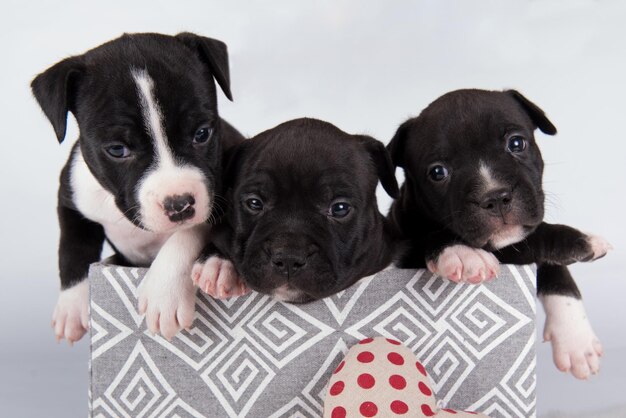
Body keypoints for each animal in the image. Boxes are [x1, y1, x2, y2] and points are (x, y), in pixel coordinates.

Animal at [31, 32, 243, 344]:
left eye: (202, 133)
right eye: (117, 149)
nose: (179, 205)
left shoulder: (217, 195)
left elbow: (188, 233)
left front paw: (164, 293)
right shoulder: (70, 199)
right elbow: (73, 245)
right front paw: (71, 305)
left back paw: (217, 268)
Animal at [388, 90, 612, 380]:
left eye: (516, 143)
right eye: (437, 172)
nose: (494, 196)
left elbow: (553, 266)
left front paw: (575, 339)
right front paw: (464, 254)